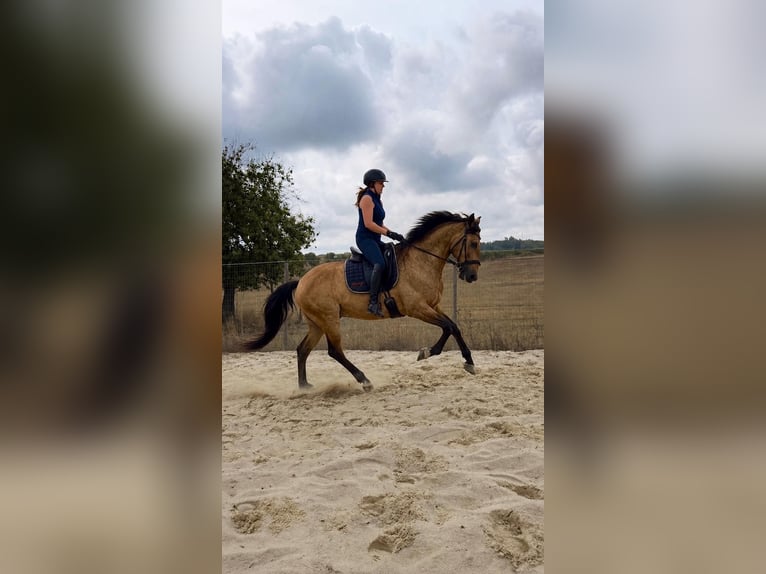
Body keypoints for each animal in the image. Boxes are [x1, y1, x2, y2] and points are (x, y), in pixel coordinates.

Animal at [242, 211, 482, 390]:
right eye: (472, 243)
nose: (472, 276)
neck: (421, 261)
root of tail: (301, 281)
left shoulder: (433, 306)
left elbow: (453, 326)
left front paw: (468, 362)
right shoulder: (418, 308)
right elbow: (448, 327)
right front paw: (427, 353)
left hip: (317, 323)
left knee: (303, 350)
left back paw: (304, 386)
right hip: (329, 319)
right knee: (334, 351)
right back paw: (364, 380)